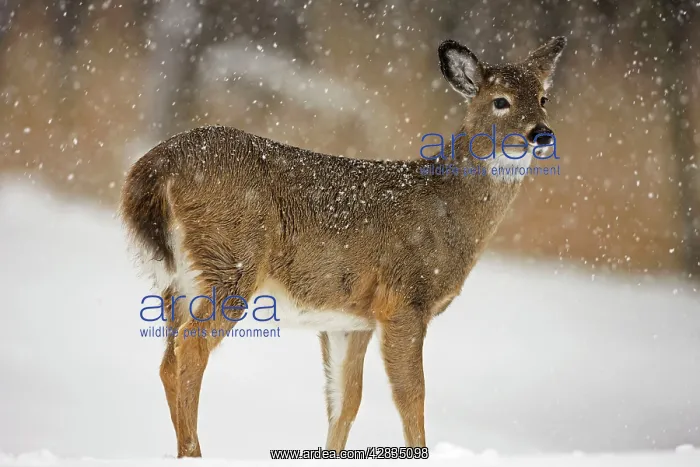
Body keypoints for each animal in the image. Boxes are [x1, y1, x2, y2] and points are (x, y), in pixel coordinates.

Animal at [119, 36, 567, 458]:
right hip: (230, 259)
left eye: (543, 98)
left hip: (177, 280)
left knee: (168, 359)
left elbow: (345, 401)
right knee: (191, 348)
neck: (445, 207)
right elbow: (412, 396)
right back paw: (194, 453)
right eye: (500, 101)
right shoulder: (403, 299)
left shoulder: (350, 319)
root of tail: (155, 166)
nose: (542, 134)